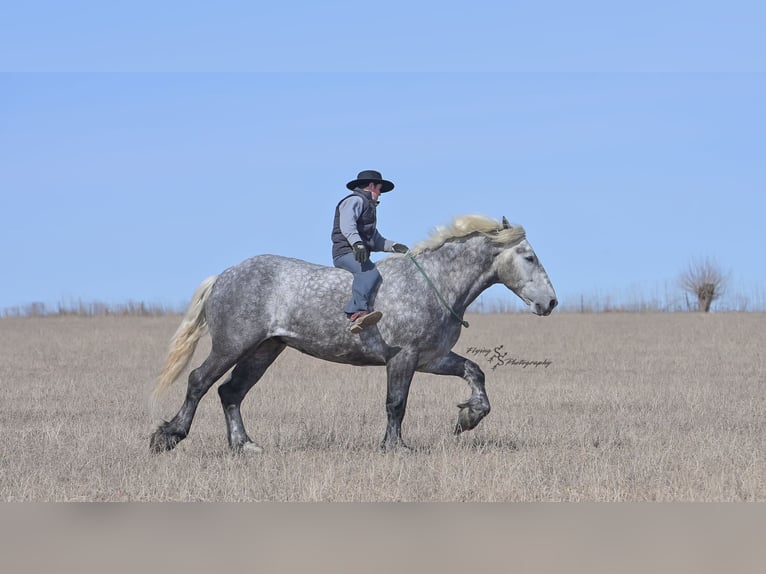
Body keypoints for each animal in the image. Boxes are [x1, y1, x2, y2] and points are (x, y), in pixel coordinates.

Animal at [150, 215, 557, 453]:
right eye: (529, 257)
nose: (551, 302)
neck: (434, 283)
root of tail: (224, 275)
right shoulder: (403, 357)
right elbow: (396, 403)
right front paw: (395, 447)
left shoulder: (432, 359)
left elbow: (476, 372)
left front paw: (469, 417)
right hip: (232, 346)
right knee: (200, 381)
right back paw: (168, 435)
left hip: (264, 350)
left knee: (230, 392)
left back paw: (244, 445)